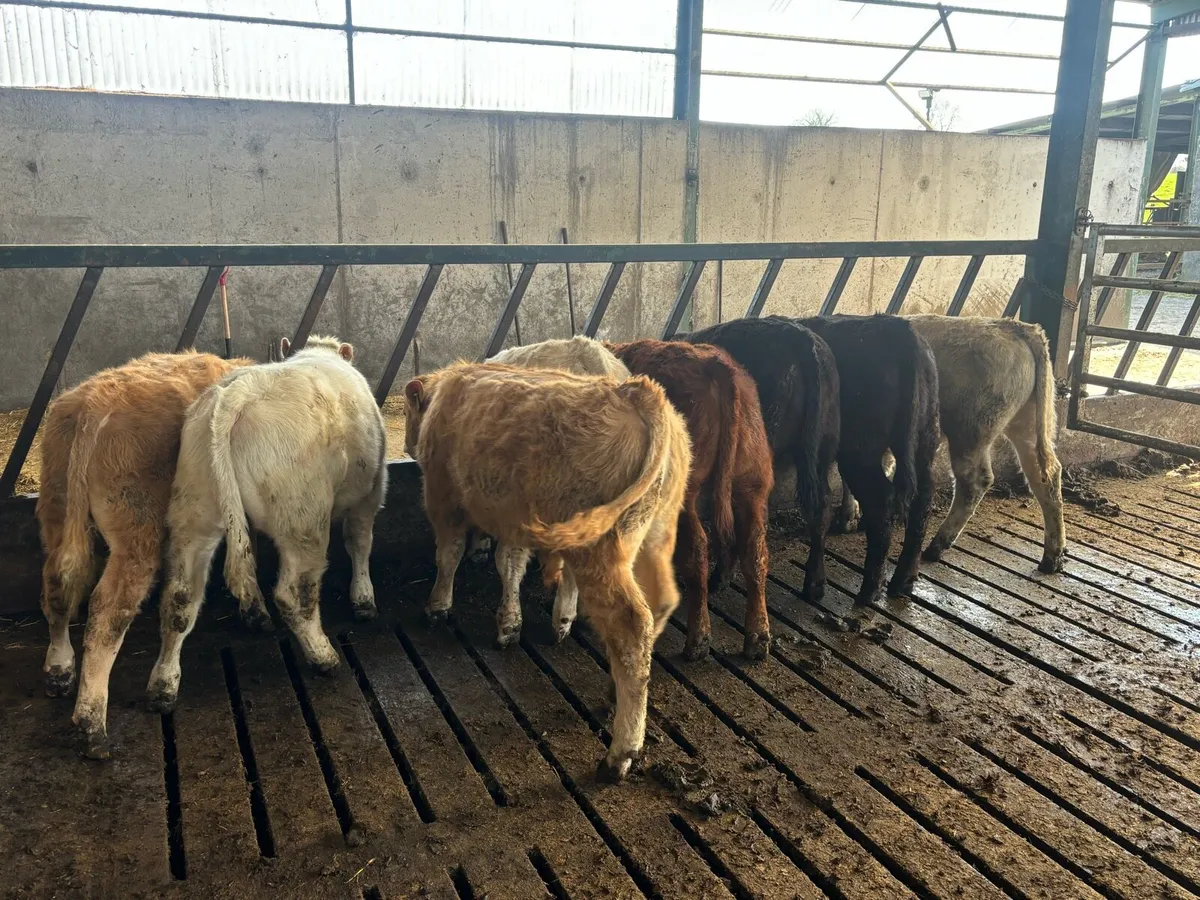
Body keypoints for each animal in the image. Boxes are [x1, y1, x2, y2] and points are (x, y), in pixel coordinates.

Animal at [36, 349, 254, 759]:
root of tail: (92, 404)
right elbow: (181, 603)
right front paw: (164, 686)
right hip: (136, 531)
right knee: (108, 612)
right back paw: (91, 724)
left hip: (56, 505)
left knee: (57, 586)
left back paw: (59, 670)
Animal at [146, 336, 387, 714]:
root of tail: (236, 393)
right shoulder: (370, 494)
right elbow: (359, 543)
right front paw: (364, 600)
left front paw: (253, 610)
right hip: (303, 520)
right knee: (293, 594)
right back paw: (324, 657)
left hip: (195, 507)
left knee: (180, 597)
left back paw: (163, 686)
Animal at [608, 340, 774, 661]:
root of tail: (716, 365)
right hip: (752, 484)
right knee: (755, 551)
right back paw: (757, 639)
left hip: (683, 495)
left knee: (698, 551)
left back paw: (698, 640)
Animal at [795, 314, 940, 606]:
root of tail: (898, 329)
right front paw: (849, 517)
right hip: (926, 434)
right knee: (923, 497)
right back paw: (903, 580)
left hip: (859, 450)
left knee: (881, 501)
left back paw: (871, 588)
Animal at [835, 315, 1065, 573]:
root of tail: (1017, 327)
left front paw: (848, 517)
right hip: (1028, 423)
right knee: (1044, 475)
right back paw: (1052, 557)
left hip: (970, 429)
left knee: (975, 481)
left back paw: (937, 545)